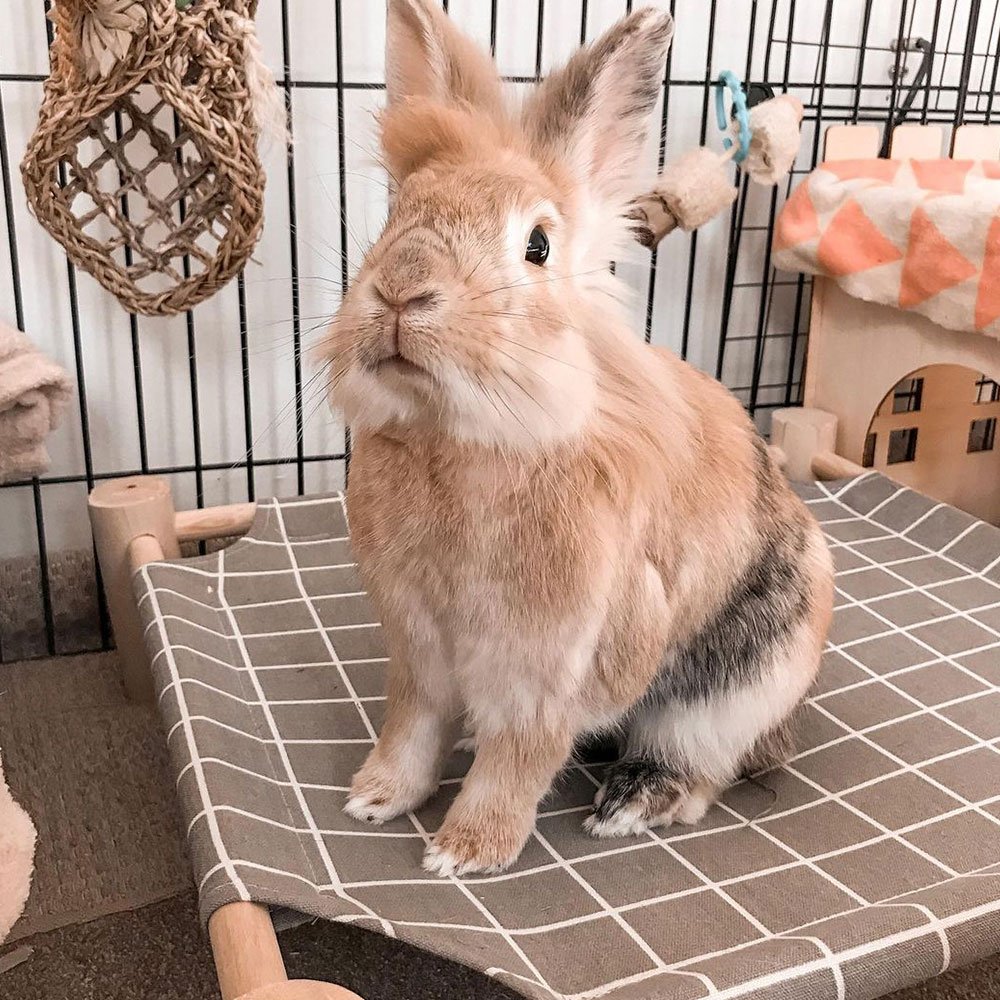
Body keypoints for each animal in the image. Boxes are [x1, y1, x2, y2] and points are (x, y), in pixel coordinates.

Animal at [320, 0, 834, 877]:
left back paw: (632, 803)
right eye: (395, 216)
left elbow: (518, 758)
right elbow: (414, 728)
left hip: (735, 692)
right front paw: (376, 798)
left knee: (703, 768)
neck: (461, 440)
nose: (401, 291)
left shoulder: (552, 667)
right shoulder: (417, 649)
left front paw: (465, 852)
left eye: (536, 246)